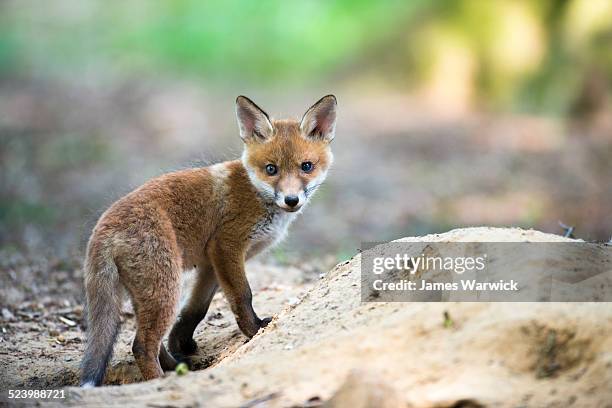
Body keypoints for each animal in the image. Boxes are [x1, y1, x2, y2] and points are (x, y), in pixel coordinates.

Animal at [79, 95, 338, 386]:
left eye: (306, 166)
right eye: (271, 169)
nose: (291, 200)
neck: (256, 193)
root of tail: (102, 227)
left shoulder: (210, 264)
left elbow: (195, 310)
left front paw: (182, 344)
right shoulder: (226, 246)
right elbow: (243, 295)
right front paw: (255, 330)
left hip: (149, 292)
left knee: (152, 339)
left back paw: (174, 365)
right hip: (166, 287)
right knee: (141, 346)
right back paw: (160, 380)